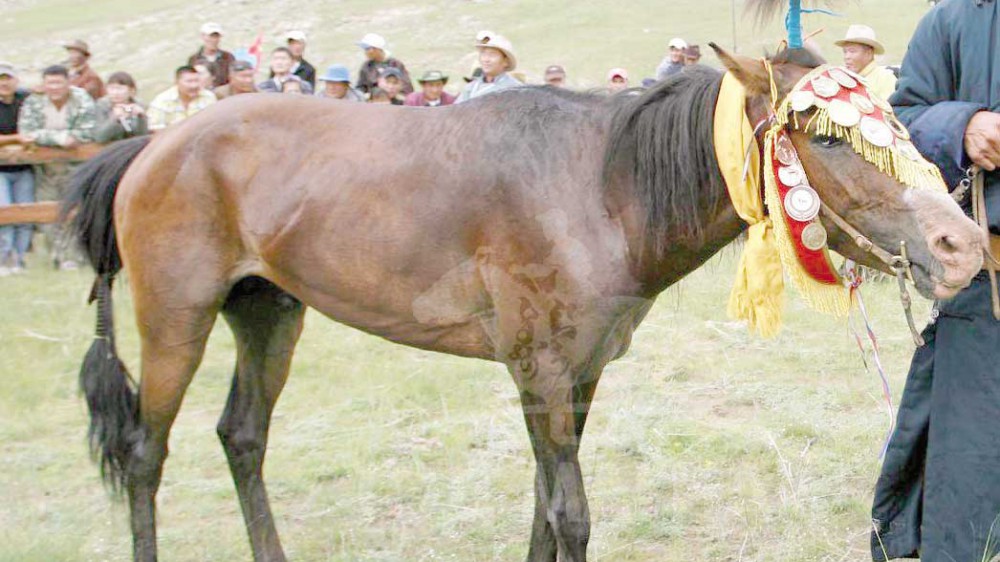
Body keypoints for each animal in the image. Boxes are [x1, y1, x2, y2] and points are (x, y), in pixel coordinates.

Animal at [68, 47, 984, 560]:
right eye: (826, 134)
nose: (960, 244)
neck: (598, 184)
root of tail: (152, 144)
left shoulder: (577, 375)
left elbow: (547, 510)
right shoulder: (539, 371)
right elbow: (569, 515)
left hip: (268, 313)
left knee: (242, 437)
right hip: (177, 320)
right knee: (146, 453)